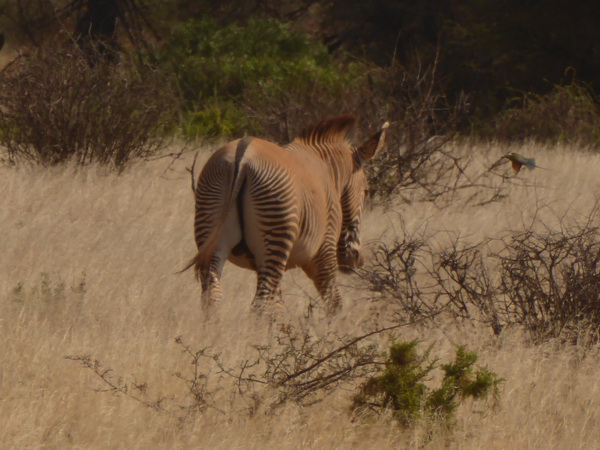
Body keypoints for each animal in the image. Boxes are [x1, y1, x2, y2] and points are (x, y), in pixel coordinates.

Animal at [184, 116, 390, 316]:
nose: (357, 260)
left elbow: (278, 308)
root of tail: (242, 158)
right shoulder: (323, 252)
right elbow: (334, 303)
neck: (328, 172)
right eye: (366, 191)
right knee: (259, 305)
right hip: (276, 236)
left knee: (212, 296)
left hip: (212, 228)